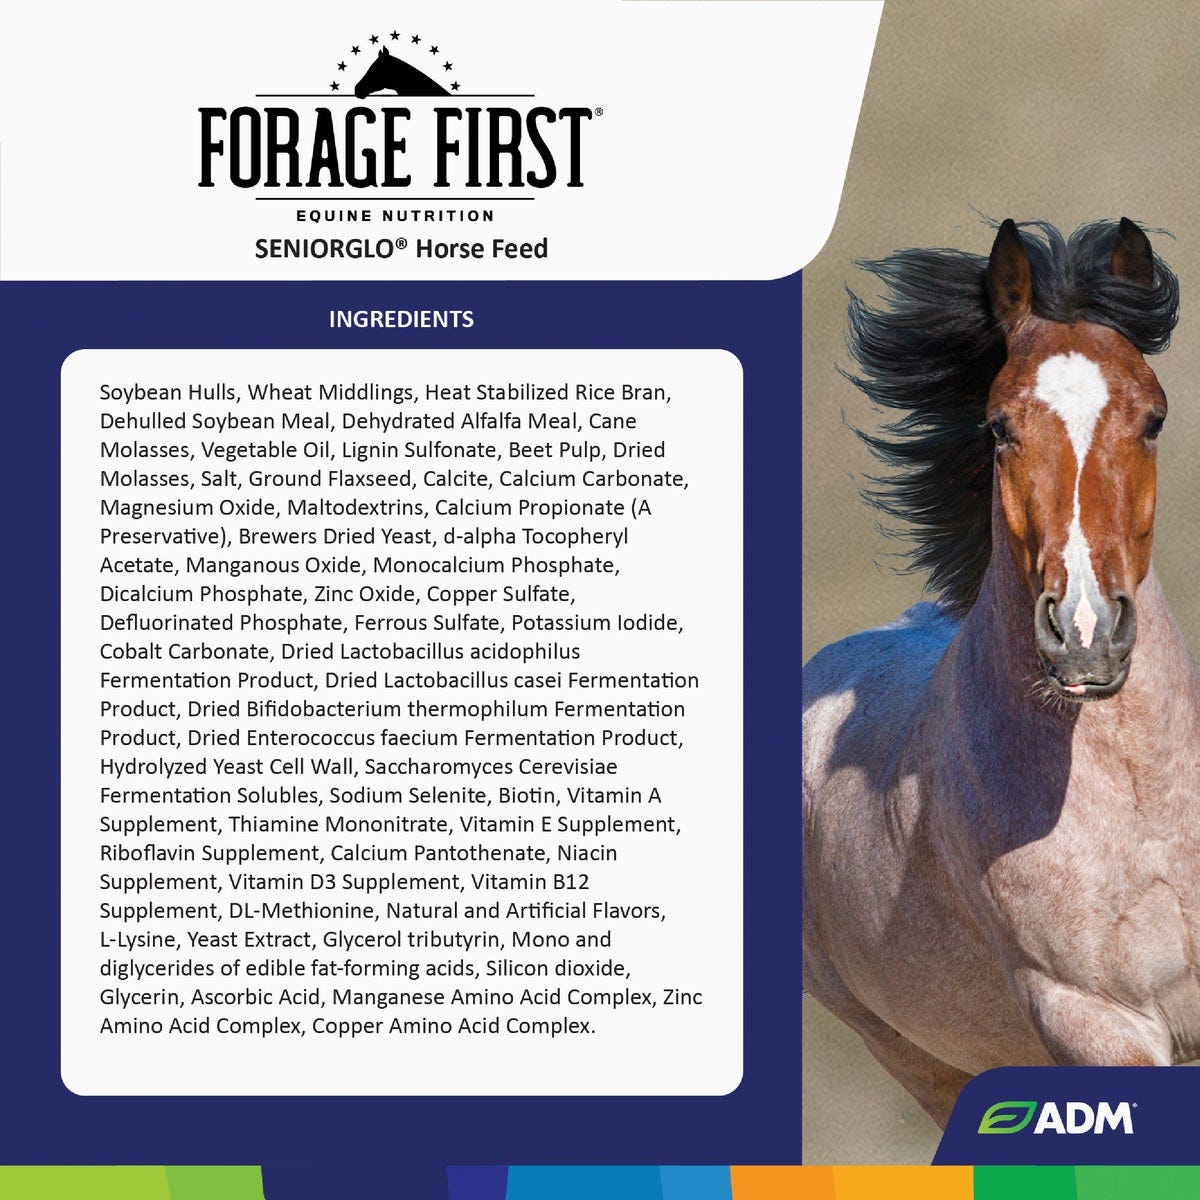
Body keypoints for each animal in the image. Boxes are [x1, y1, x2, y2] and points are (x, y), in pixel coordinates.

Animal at [802, 218, 1200, 1129]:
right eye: (997, 427)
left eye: (1154, 418)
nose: (1086, 634)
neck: (1138, 806)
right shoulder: (1095, 1021)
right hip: (924, 1061)